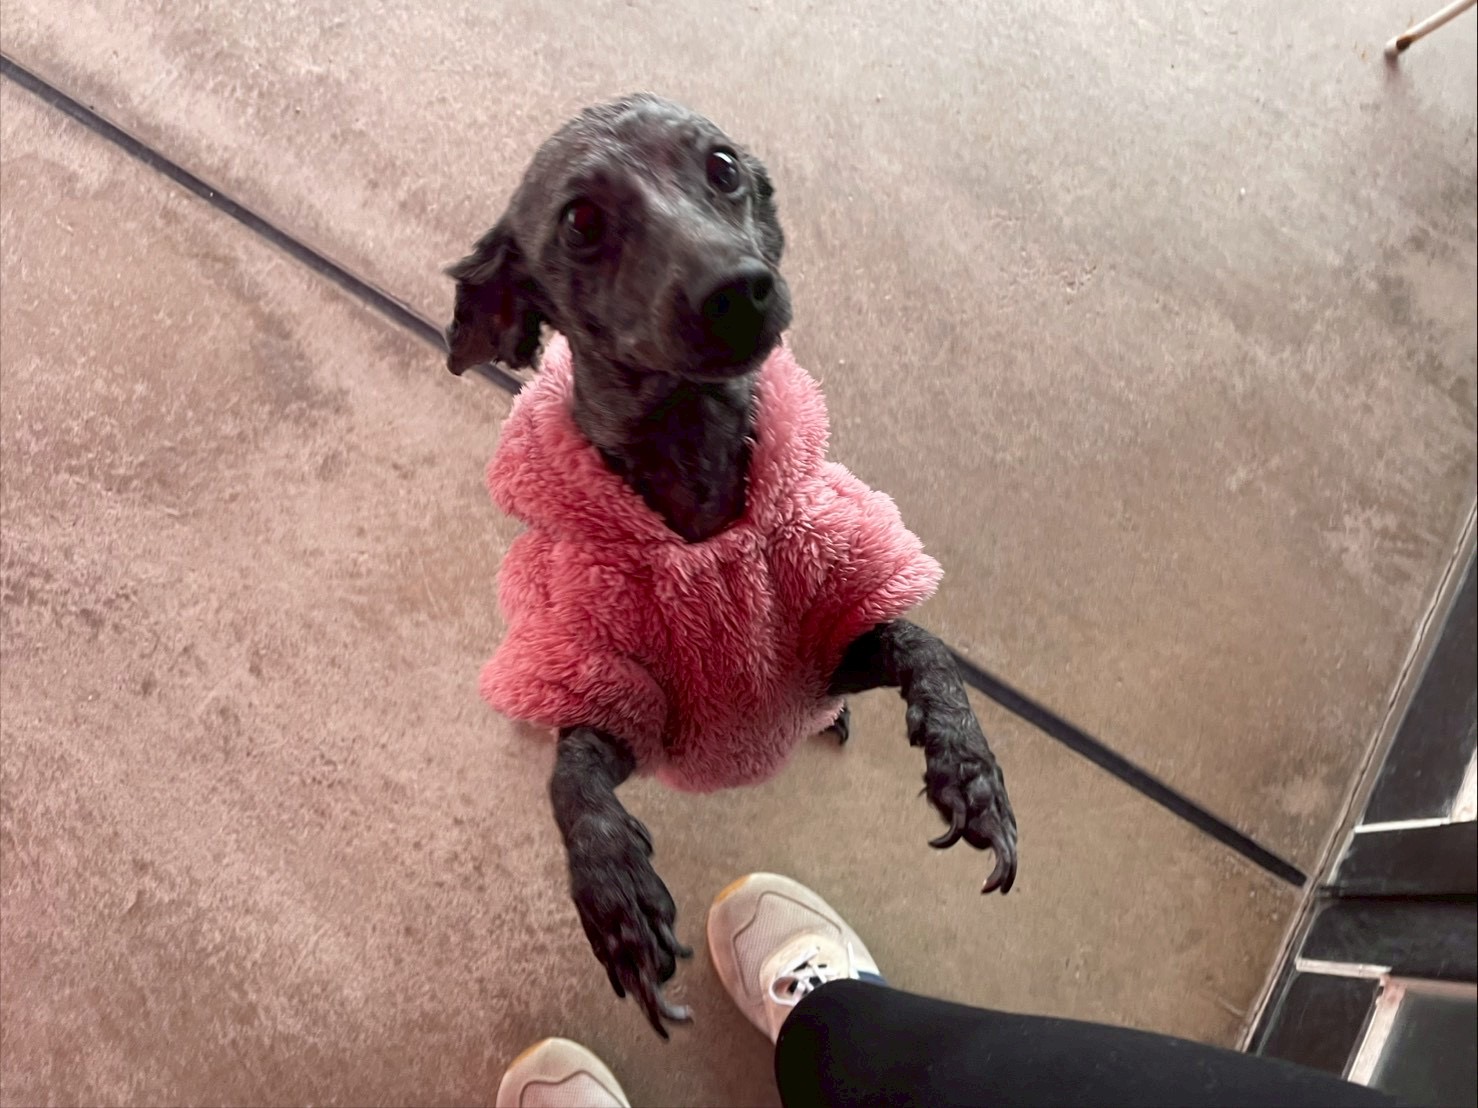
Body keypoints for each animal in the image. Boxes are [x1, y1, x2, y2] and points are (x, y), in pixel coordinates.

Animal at [444, 94, 1017, 1038]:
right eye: (581, 219)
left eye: (721, 166)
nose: (736, 287)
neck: (701, 497)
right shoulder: (621, 700)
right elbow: (576, 783)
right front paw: (614, 891)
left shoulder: (822, 645)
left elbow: (923, 645)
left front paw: (967, 768)